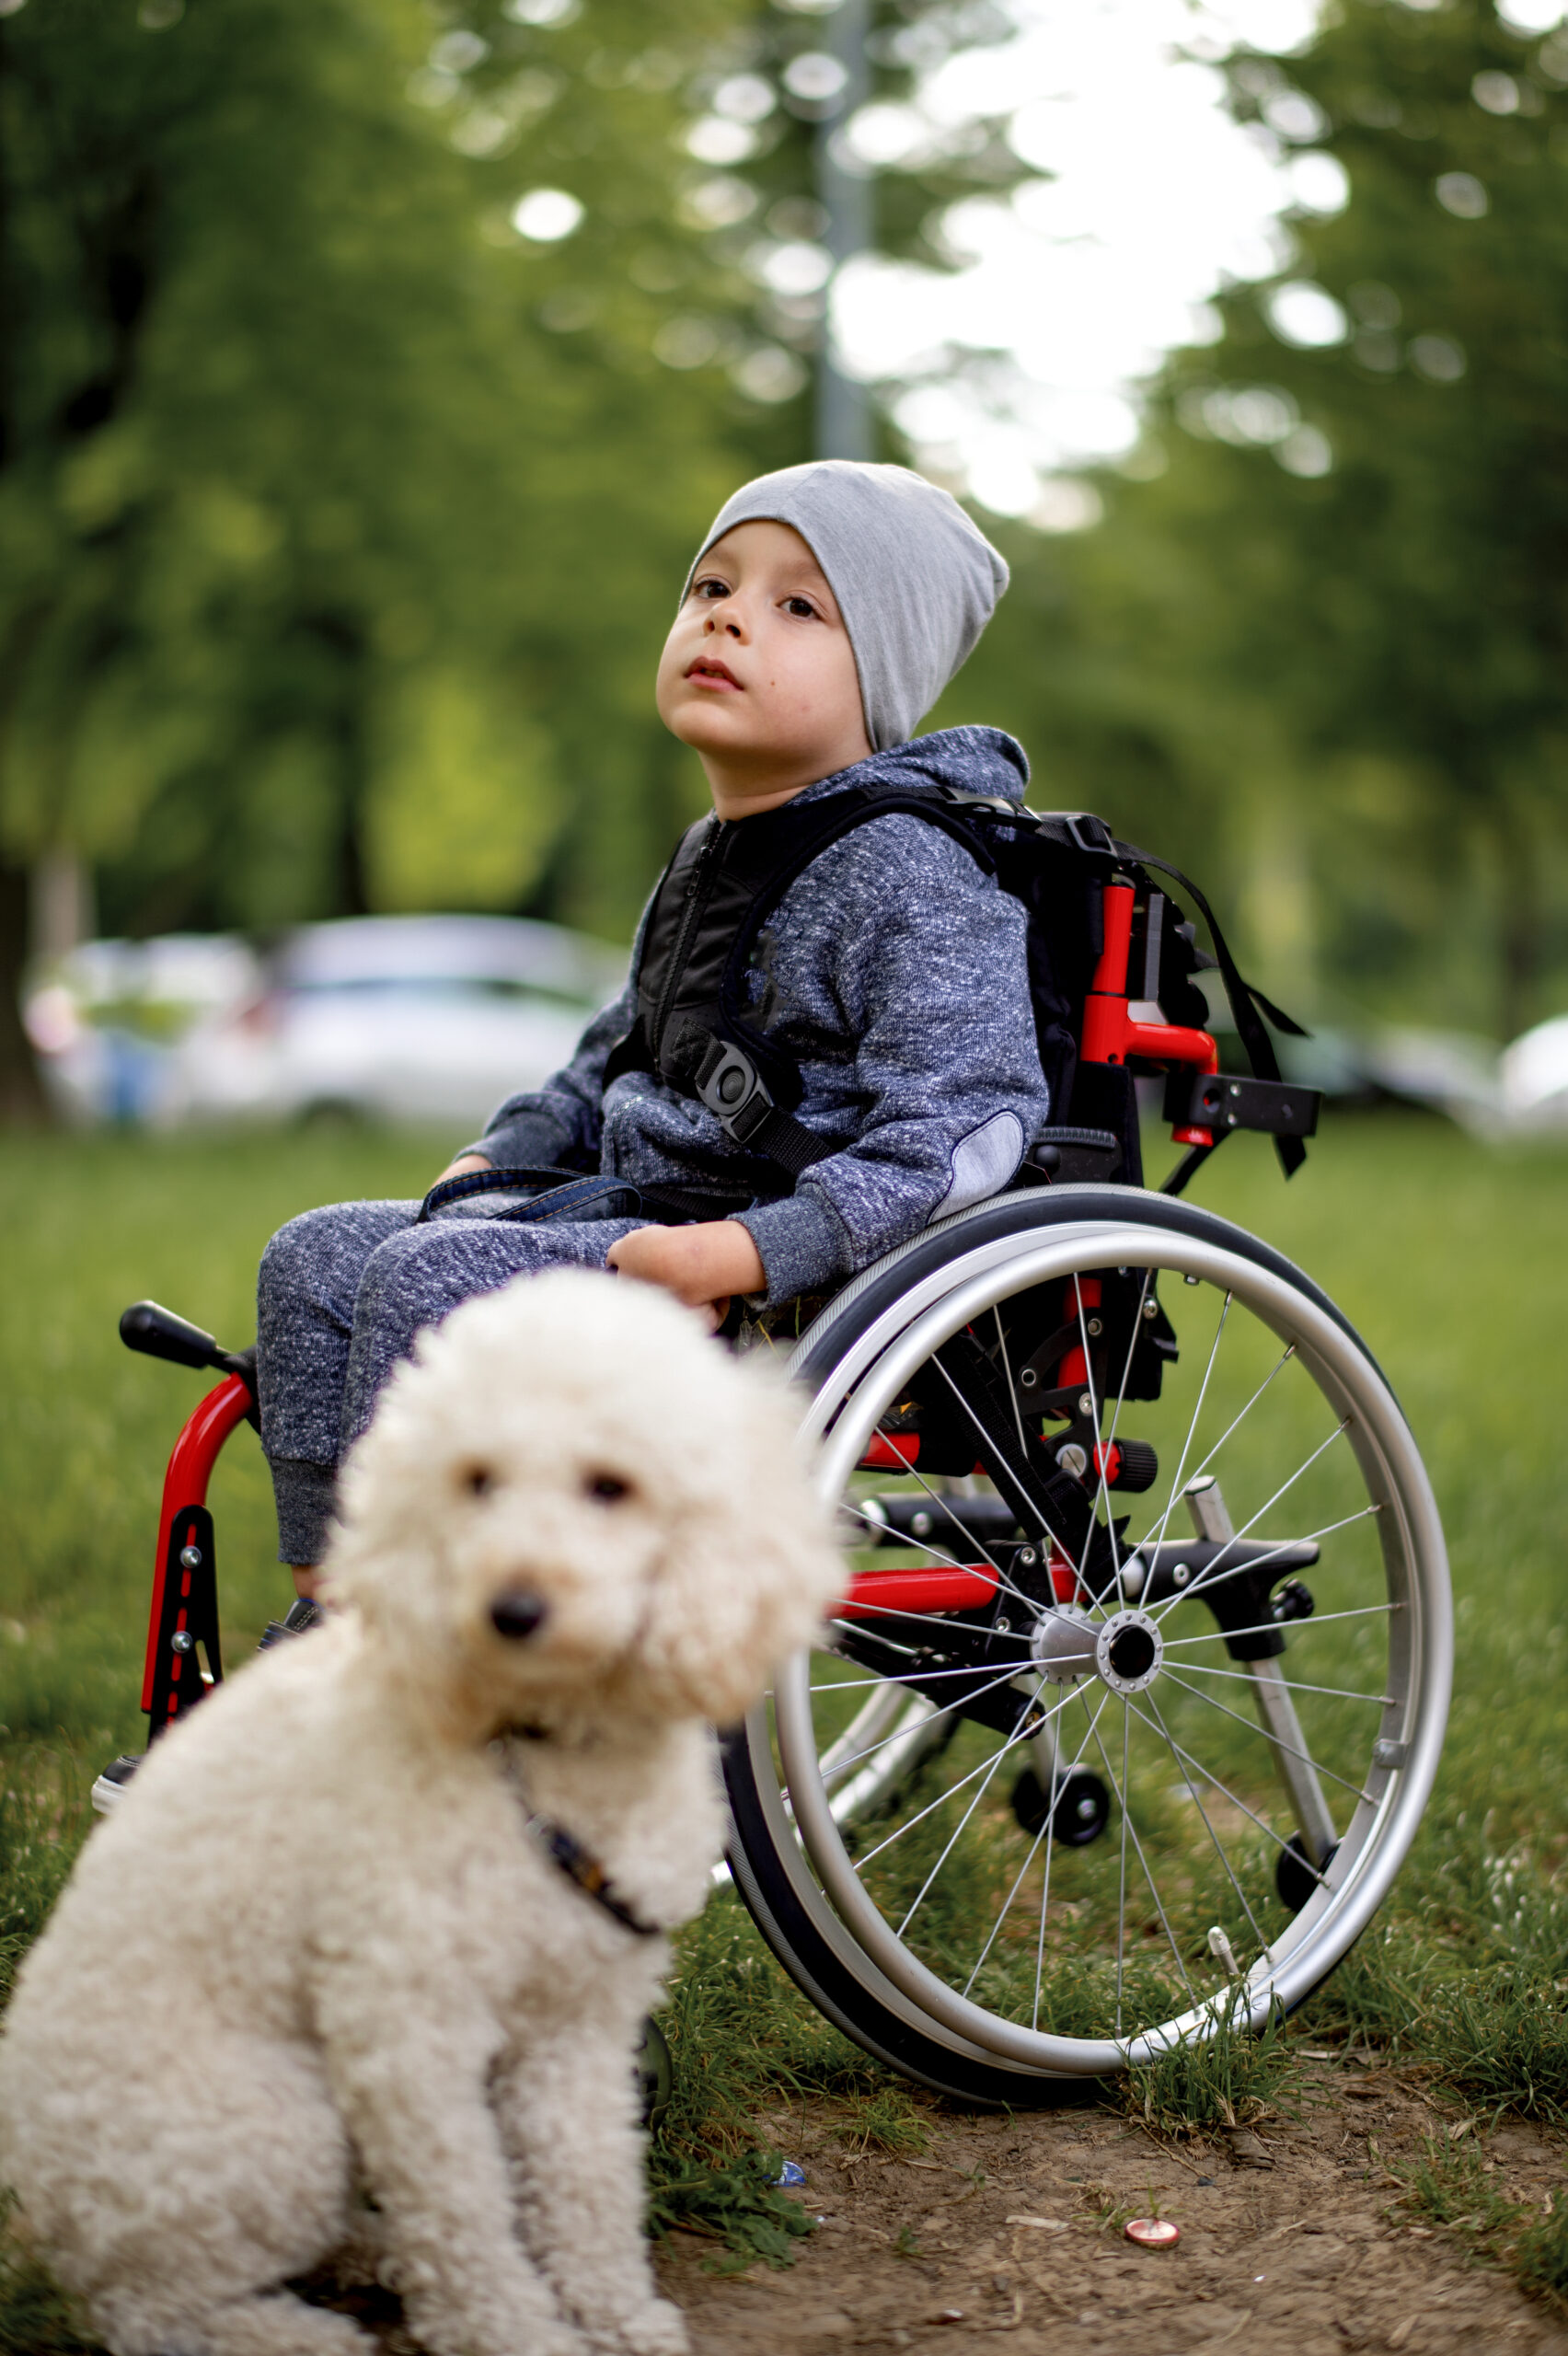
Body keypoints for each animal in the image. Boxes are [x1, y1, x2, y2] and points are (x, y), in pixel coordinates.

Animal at [0, 1281, 842, 2346]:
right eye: (476, 1481)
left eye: (611, 1485)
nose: (510, 1610)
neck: (535, 1748)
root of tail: (38, 2197)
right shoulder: (405, 2026)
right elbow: (463, 2207)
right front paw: (516, 2333)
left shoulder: (577, 2024)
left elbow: (587, 2182)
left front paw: (613, 2314)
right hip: (273, 2128)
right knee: (153, 2307)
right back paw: (302, 2333)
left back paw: (370, 2255)